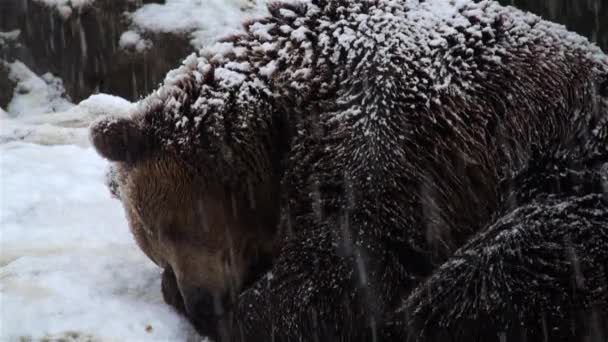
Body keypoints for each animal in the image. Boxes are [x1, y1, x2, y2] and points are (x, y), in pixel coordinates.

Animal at [90, 0, 608, 340]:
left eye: (173, 229)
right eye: (157, 246)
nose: (202, 302)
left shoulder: (387, 128)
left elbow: (347, 259)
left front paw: (246, 313)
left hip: (566, 177)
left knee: (492, 271)